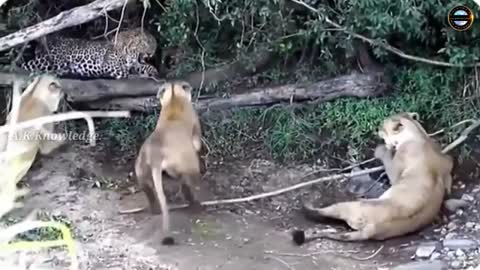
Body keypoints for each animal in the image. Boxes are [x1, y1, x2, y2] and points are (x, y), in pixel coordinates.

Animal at [18, 27, 161, 80]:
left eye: (154, 45)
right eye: (145, 43)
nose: (151, 54)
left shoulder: (135, 63)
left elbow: (143, 66)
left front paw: (153, 70)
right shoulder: (108, 64)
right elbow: (123, 70)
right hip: (51, 60)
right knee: (26, 66)